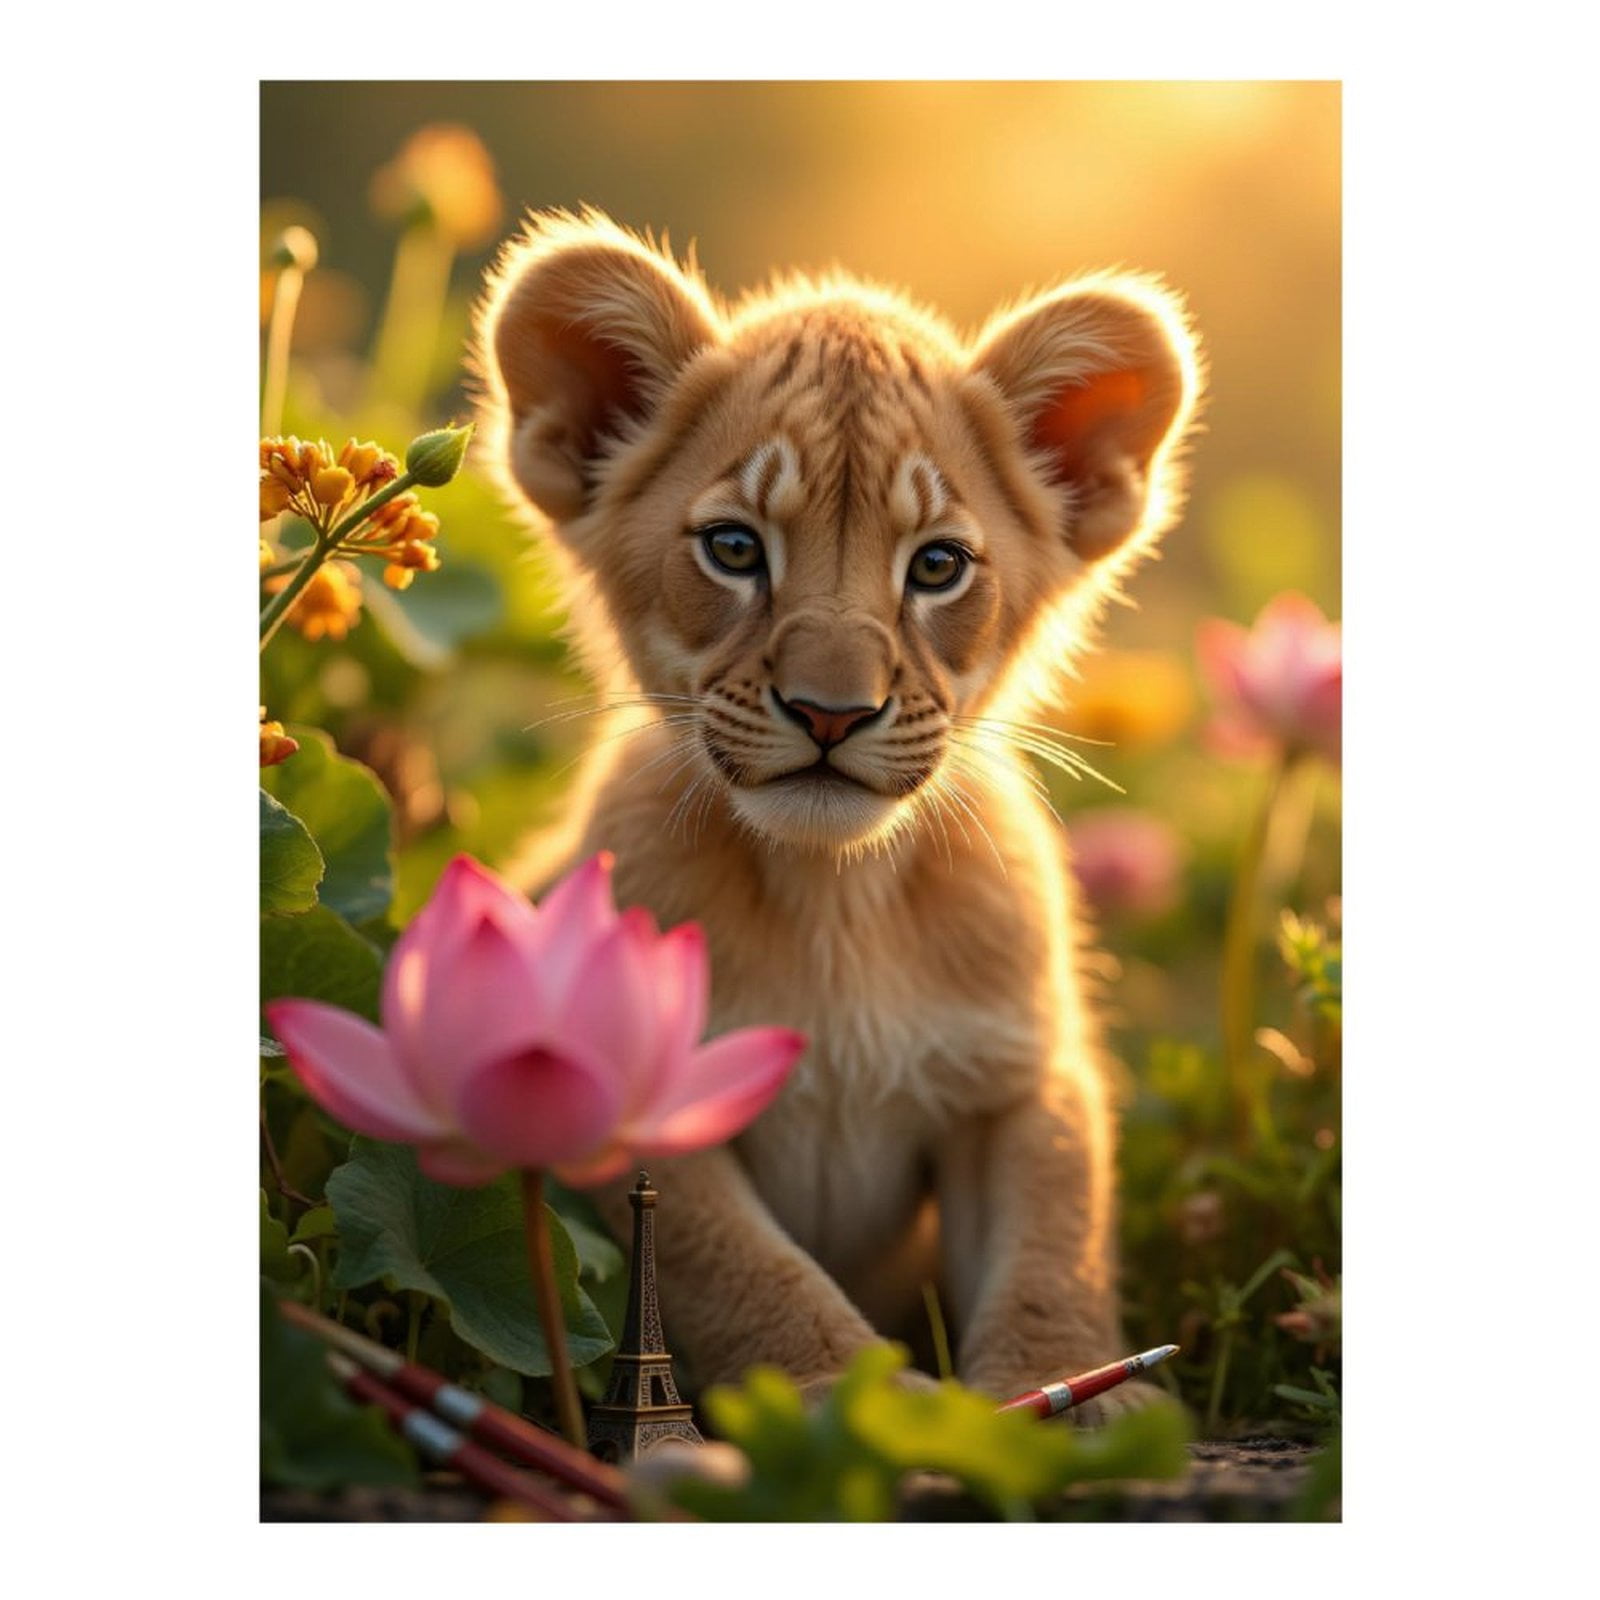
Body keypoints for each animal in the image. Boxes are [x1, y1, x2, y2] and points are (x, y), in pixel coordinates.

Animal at [475, 209, 1201, 1416]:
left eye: (939, 566)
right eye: (733, 548)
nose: (829, 710)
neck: (834, 898)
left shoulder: (1017, 1079)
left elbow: (1054, 1241)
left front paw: (1070, 1388)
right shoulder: (634, 1109)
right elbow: (745, 1269)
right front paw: (843, 1403)